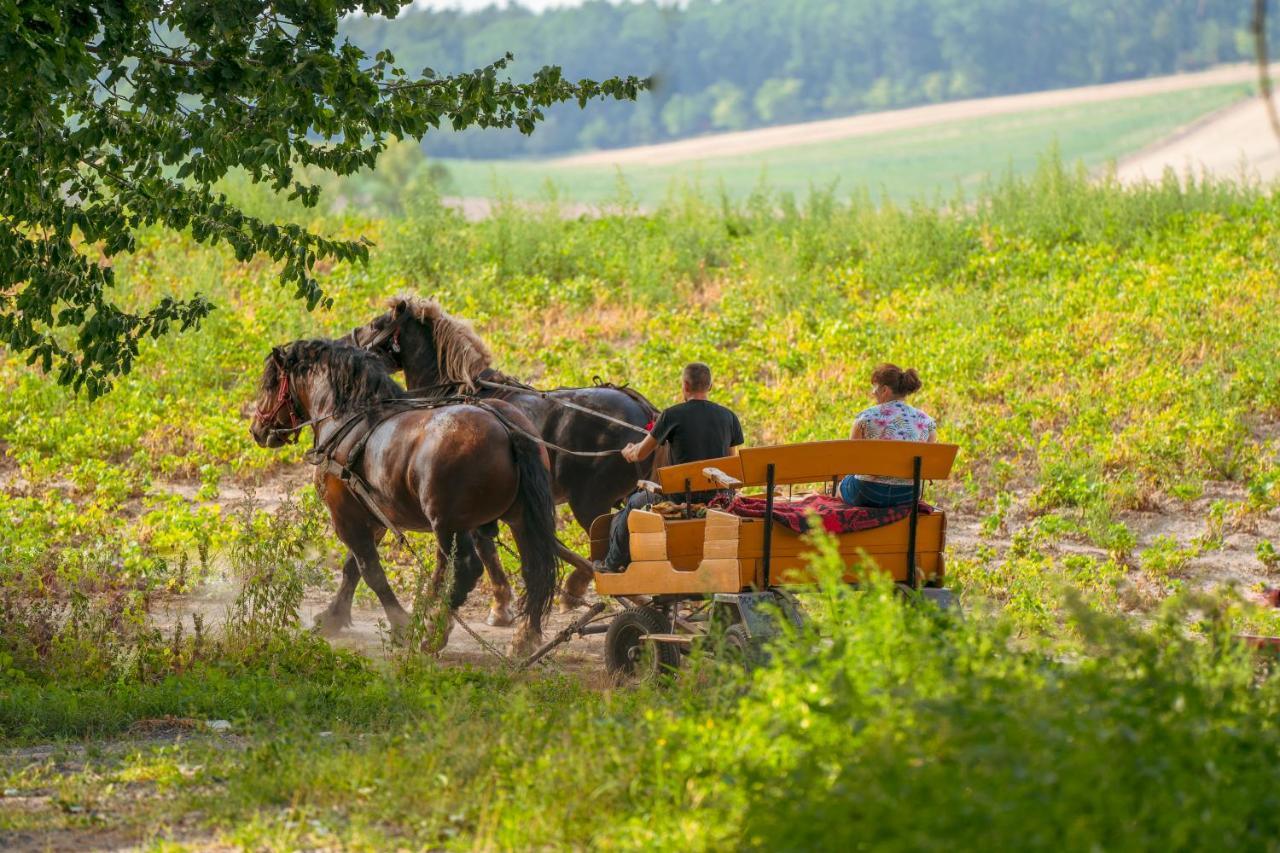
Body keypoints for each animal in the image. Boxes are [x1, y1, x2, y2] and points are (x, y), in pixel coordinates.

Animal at [249, 338, 560, 650]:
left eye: (269, 384)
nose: (256, 430)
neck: (349, 417)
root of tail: (506, 427)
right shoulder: (373, 517)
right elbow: (352, 568)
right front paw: (334, 617)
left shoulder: (345, 516)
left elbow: (370, 571)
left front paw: (400, 624)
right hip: (518, 520)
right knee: (534, 569)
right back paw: (522, 637)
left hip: (449, 525)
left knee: (464, 570)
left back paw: (433, 632)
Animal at [350, 295, 660, 614]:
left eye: (377, 324)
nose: (352, 340)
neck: (462, 389)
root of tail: (646, 414)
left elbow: (483, 551)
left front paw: (498, 605)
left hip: (589, 502)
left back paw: (583, 589)